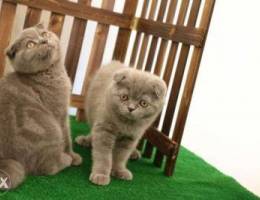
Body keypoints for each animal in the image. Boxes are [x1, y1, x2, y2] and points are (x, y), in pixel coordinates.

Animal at [0, 23, 81, 189]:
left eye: (44, 34)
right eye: (30, 44)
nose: (43, 40)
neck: (50, 73)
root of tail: (6, 159)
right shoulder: (60, 113)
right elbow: (67, 137)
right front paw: (73, 156)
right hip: (51, 129)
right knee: (47, 167)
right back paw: (66, 160)